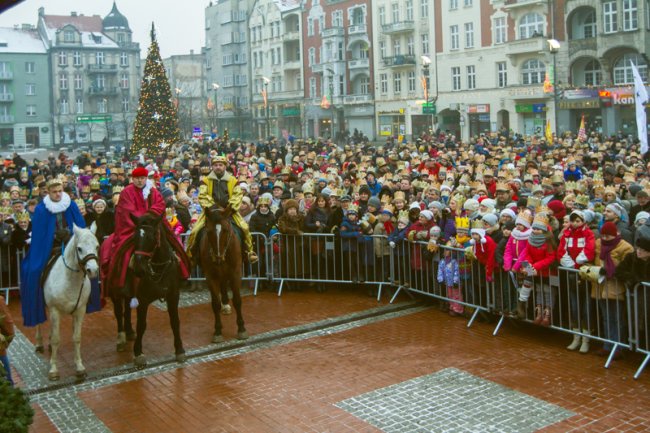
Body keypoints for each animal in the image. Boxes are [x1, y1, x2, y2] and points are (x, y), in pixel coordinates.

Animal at [35, 224, 98, 380]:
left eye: (97, 246)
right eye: (79, 248)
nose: (93, 270)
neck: (69, 280)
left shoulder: (80, 311)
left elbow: (76, 338)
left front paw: (80, 367)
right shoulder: (55, 310)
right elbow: (56, 339)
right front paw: (53, 369)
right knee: (38, 321)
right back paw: (39, 343)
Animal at [199, 204, 247, 342]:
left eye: (225, 230)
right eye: (209, 231)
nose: (218, 258)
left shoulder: (236, 273)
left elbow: (237, 300)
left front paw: (241, 329)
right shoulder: (210, 276)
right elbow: (215, 303)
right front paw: (217, 331)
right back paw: (224, 305)